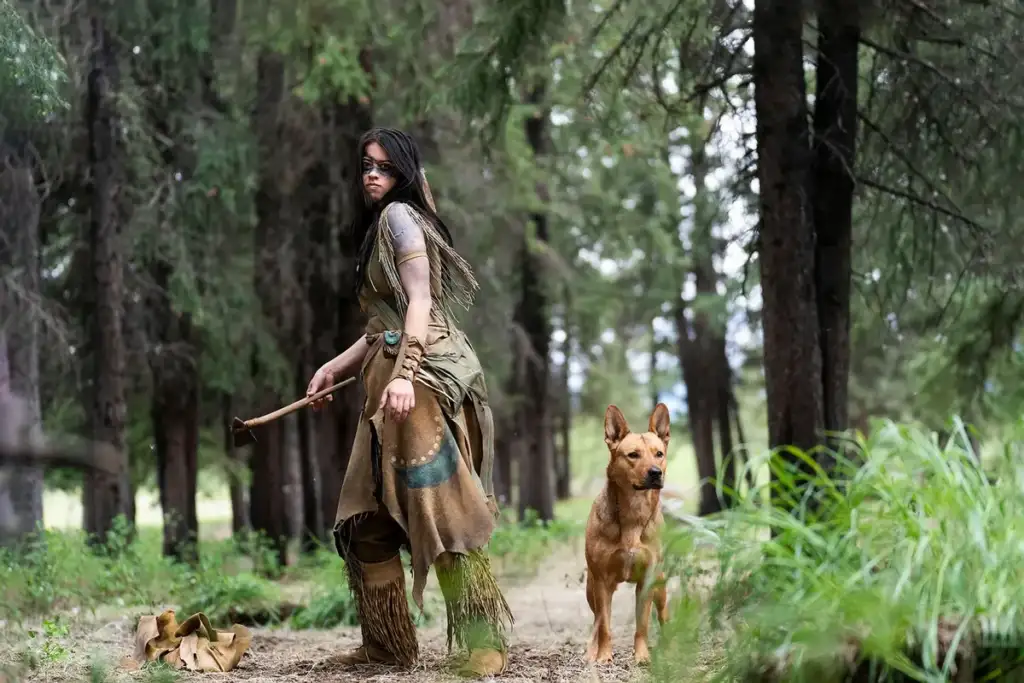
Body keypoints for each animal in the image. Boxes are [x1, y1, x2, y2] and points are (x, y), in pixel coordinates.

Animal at [585, 403, 671, 663]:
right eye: (633, 455)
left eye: (659, 453)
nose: (655, 472)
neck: (633, 512)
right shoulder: (601, 581)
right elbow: (604, 625)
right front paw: (604, 655)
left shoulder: (647, 579)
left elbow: (642, 624)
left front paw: (642, 655)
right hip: (591, 589)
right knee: (597, 619)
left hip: (660, 585)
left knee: (663, 614)